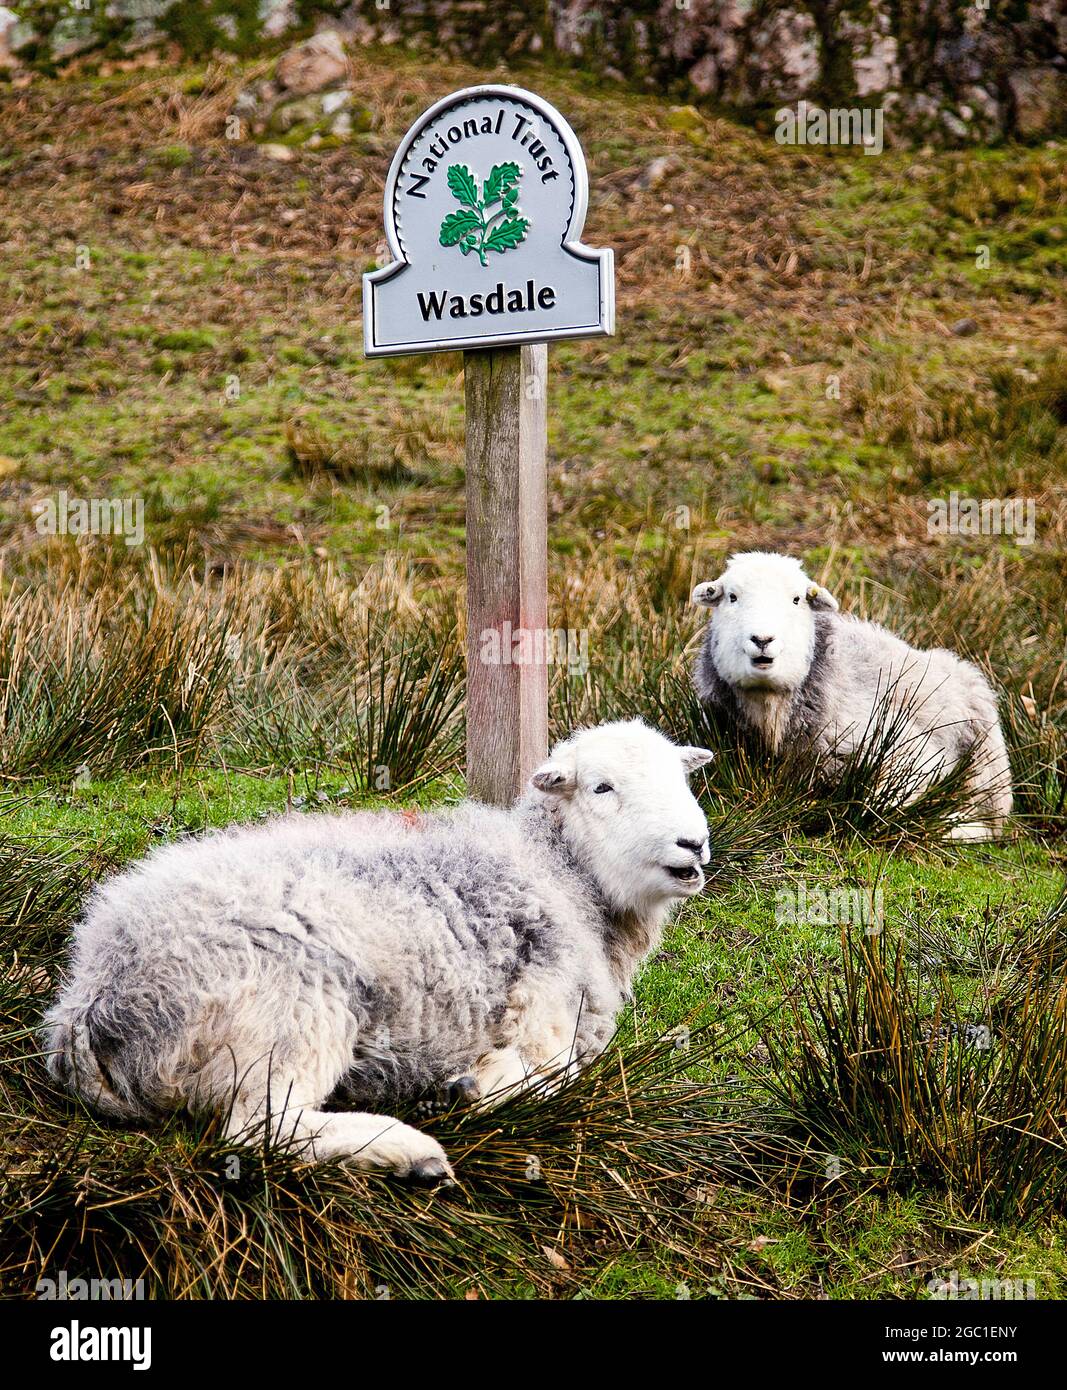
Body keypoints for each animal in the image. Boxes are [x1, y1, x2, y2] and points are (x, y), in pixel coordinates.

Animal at [45, 717, 716, 1184]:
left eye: (683, 780)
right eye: (603, 788)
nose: (694, 844)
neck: (562, 872)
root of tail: (89, 1001)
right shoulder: (542, 1012)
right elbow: (553, 1078)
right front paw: (477, 1086)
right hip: (293, 1004)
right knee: (259, 1129)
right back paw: (410, 1151)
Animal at [691, 550, 1011, 834]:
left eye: (796, 599)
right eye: (732, 597)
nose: (762, 639)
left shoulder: (908, 749)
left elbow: (884, 808)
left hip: (987, 770)